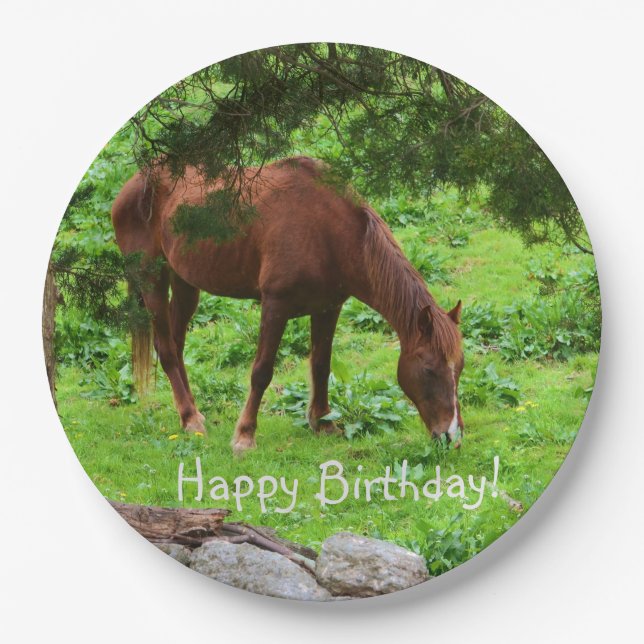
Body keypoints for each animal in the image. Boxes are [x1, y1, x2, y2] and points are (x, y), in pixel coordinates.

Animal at [111, 156, 464, 454]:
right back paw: (190, 418)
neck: (330, 232)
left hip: (185, 283)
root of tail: (135, 183)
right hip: (151, 278)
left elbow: (321, 365)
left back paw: (191, 413)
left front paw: (322, 422)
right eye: (429, 370)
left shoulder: (328, 308)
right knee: (166, 349)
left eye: (459, 368)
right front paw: (245, 436)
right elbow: (261, 371)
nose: (452, 436)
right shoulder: (275, 306)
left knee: (176, 342)